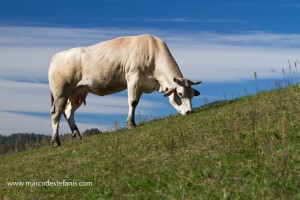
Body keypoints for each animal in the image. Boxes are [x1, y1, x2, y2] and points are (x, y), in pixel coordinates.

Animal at [48, 34, 200, 145]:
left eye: (193, 94)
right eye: (180, 94)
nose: (190, 112)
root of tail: (58, 55)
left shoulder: (142, 84)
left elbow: (136, 102)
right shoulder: (133, 76)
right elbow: (132, 101)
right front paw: (131, 124)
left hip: (77, 92)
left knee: (68, 112)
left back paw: (77, 135)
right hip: (60, 92)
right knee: (56, 113)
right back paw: (55, 141)